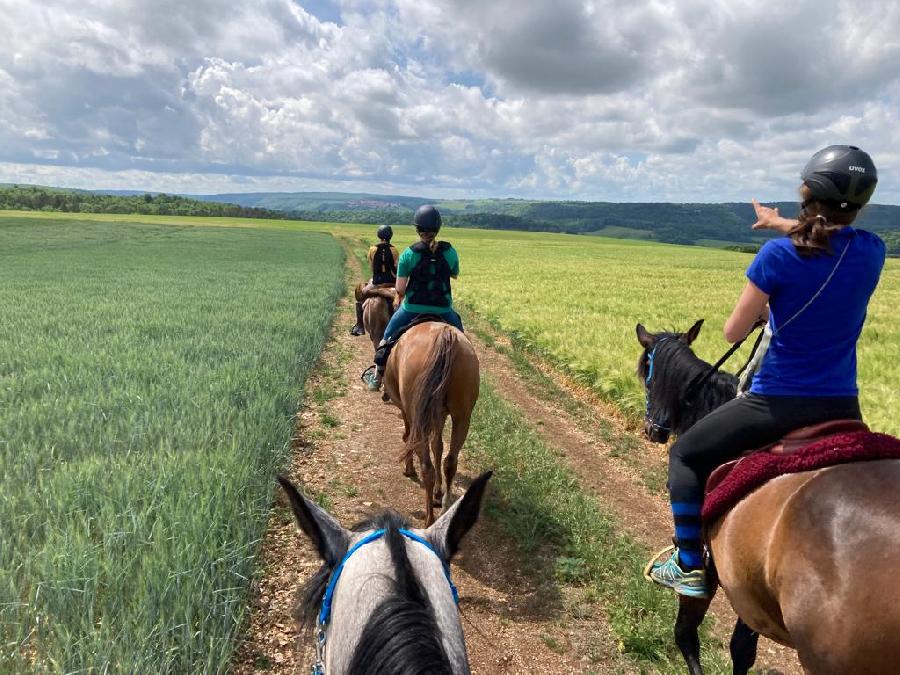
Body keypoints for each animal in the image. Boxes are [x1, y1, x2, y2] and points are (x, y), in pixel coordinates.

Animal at [384, 322, 482, 528]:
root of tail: (445, 336)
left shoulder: (409, 413)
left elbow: (408, 438)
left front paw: (408, 468)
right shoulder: (440, 414)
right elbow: (438, 446)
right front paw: (438, 492)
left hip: (417, 412)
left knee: (426, 466)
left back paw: (429, 520)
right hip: (462, 416)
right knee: (450, 461)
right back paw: (443, 510)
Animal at [636, 322, 900, 675]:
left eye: (647, 372)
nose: (653, 430)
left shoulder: (708, 564)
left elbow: (686, 634)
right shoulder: (749, 582)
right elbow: (741, 649)